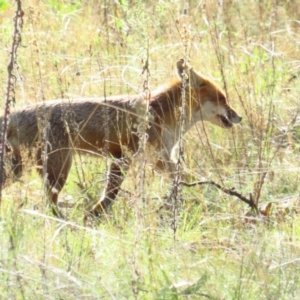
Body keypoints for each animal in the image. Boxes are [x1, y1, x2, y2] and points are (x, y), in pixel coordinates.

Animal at [0, 58, 241, 218]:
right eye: (222, 98)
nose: (239, 117)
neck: (160, 113)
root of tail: (13, 115)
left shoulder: (159, 158)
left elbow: (181, 177)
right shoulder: (124, 156)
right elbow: (111, 193)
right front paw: (94, 215)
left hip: (21, 168)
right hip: (56, 171)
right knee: (50, 203)